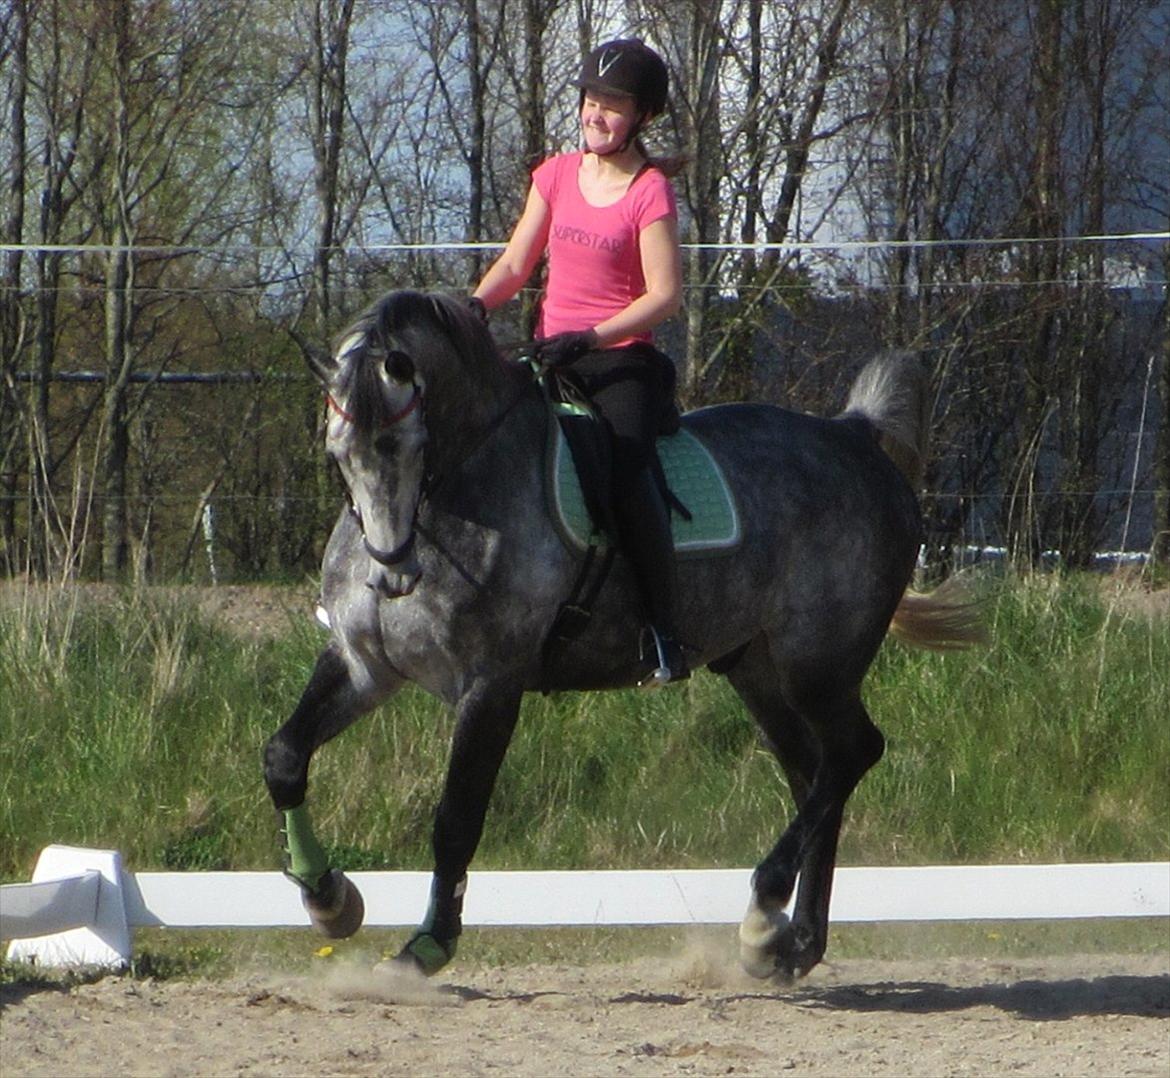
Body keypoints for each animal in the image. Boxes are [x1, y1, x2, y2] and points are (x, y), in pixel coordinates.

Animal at [260, 290, 982, 978]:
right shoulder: (365, 665)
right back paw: (793, 945)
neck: (458, 489)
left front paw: (428, 945)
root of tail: (853, 433)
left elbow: (456, 818)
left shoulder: (491, 685)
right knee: (815, 770)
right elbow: (285, 757)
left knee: (852, 753)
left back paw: (764, 911)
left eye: (408, 444)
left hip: (819, 664)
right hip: (759, 668)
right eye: (337, 453)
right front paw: (329, 899)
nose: (392, 574)